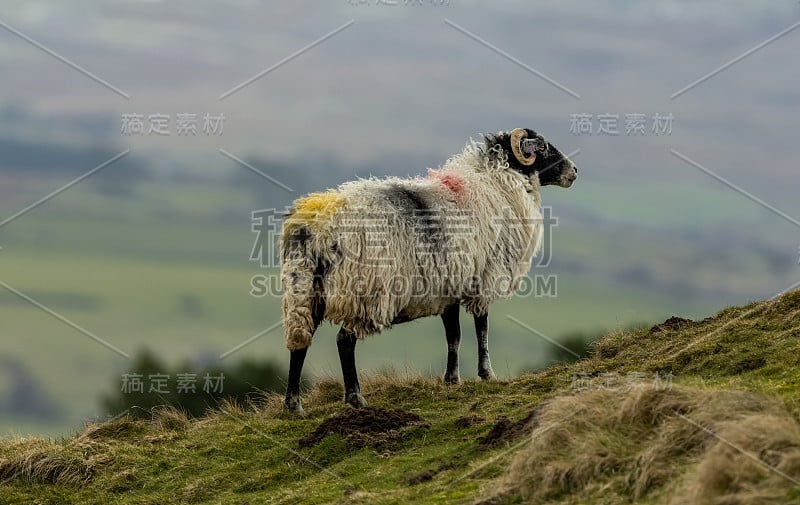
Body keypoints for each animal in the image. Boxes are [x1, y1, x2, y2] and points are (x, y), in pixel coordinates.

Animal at [280, 127, 576, 410]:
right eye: (542, 147)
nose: (574, 171)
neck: (496, 184)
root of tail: (317, 224)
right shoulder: (483, 278)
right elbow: (481, 329)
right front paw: (487, 374)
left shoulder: (449, 286)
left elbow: (454, 336)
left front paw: (452, 379)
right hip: (364, 292)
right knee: (344, 342)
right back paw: (355, 398)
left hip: (303, 290)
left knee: (299, 342)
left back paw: (293, 405)